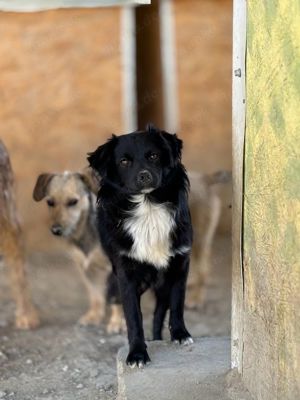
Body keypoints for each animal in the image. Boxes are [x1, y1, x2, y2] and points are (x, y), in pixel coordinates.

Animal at [33, 170, 125, 332]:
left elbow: (117, 299)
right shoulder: (85, 269)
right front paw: (94, 316)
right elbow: (95, 295)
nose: (56, 230)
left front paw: (117, 322)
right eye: (50, 202)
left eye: (73, 202)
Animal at [88, 126, 193, 368]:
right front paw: (137, 353)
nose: (144, 176)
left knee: (159, 312)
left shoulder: (179, 264)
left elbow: (177, 304)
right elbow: (134, 318)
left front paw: (180, 334)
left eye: (153, 155)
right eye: (124, 161)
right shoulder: (126, 274)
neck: (148, 207)